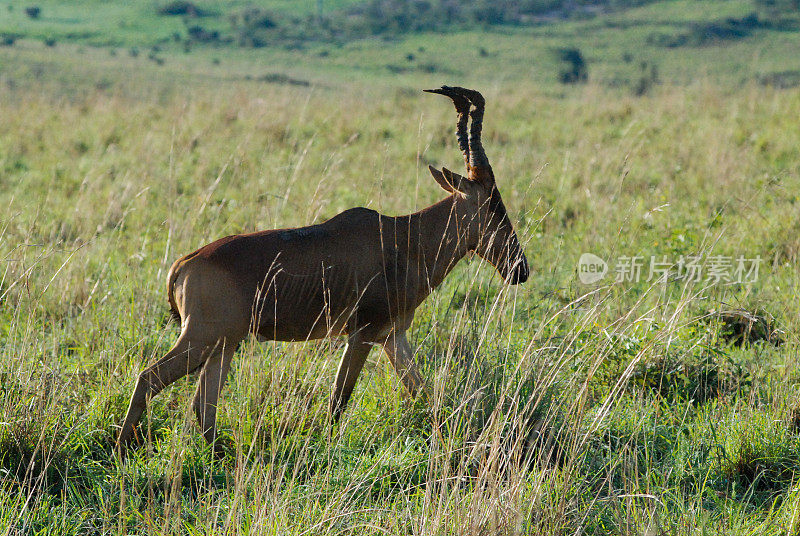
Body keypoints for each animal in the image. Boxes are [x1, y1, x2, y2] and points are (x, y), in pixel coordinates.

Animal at [115, 86, 528, 454]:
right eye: (493, 202)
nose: (520, 269)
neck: (402, 238)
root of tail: (185, 262)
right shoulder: (361, 334)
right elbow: (338, 400)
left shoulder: (392, 337)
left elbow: (424, 392)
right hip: (202, 338)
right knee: (149, 378)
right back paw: (123, 448)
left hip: (223, 345)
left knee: (203, 405)